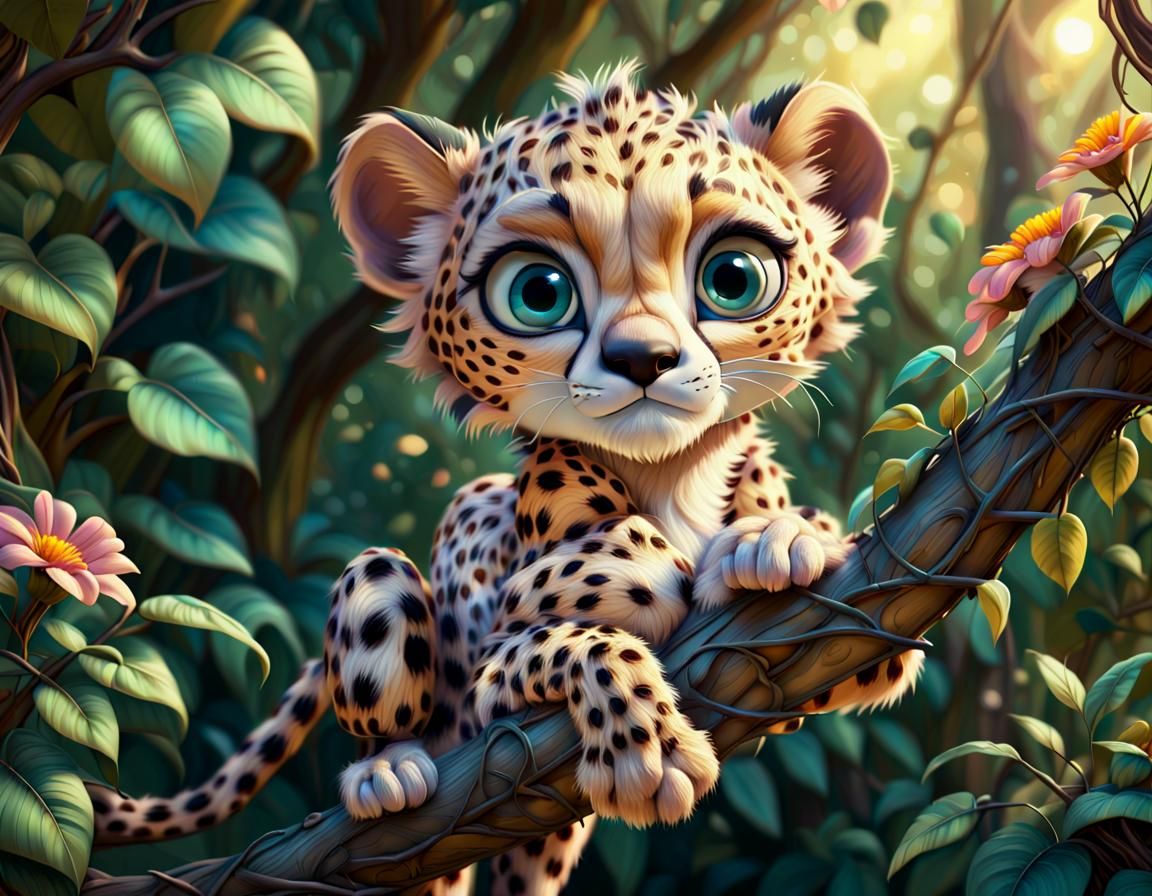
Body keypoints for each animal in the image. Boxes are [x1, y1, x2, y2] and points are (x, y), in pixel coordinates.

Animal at [85, 62, 921, 895]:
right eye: (539, 292)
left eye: (733, 277)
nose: (642, 359)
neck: (671, 475)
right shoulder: (495, 681)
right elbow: (582, 635)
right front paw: (647, 737)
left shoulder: (843, 641)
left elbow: (866, 623)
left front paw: (774, 538)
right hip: (391, 594)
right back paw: (383, 773)